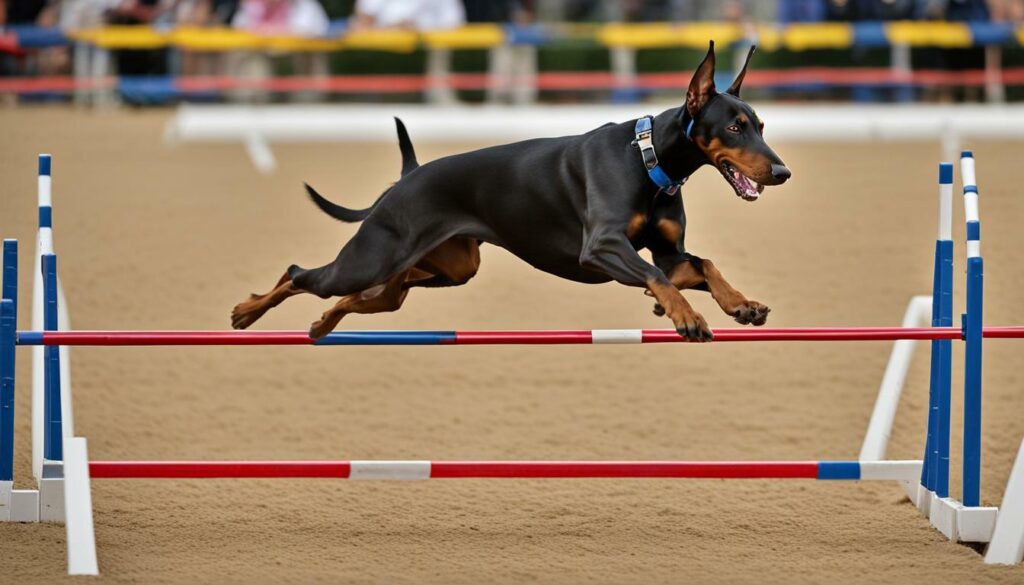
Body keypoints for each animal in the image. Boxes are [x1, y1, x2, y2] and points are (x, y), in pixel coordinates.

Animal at [234, 41, 790, 340]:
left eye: (761, 124)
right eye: (735, 126)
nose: (782, 172)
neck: (650, 160)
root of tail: (408, 178)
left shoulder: (668, 251)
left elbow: (700, 264)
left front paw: (742, 304)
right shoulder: (603, 247)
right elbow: (659, 277)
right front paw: (687, 316)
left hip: (446, 269)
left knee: (369, 296)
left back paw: (324, 324)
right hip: (373, 256)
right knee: (301, 273)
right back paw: (247, 312)